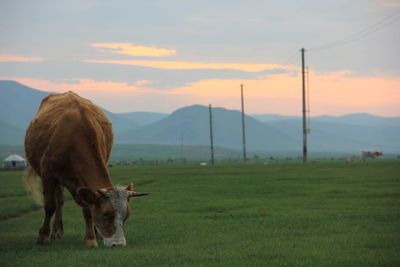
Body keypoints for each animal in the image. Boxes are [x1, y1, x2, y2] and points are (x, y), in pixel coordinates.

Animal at [24, 92, 148, 249]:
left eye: (126, 215)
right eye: (106, 214)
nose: (118, 244)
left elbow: (88, 209)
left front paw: (91, 238)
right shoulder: (48, 175)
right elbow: (49, 206)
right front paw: (43, 236)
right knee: (59, 201)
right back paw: (57, 231)